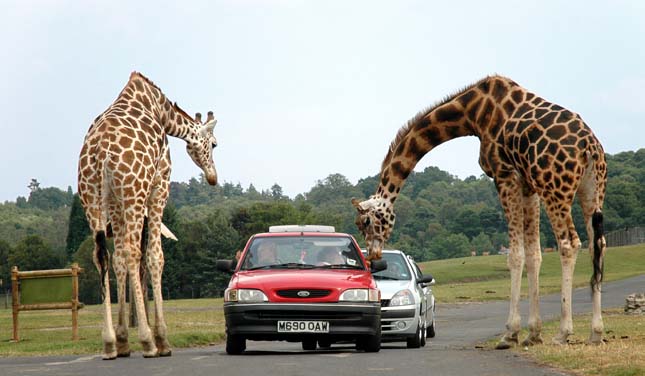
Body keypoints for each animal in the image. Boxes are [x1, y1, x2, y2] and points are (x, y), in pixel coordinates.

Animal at [77, 71, 219, 358]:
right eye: (214, 144)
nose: (213, 177)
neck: (162, 111)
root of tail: (99, 153)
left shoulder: (115, 203)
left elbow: (118, 259)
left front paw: (122, 339)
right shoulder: (159, 185)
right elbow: (155, 256)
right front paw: (162, 338)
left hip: (92, 197)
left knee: (102, 255)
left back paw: (109, 343)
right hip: (135, 192)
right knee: (134, 253)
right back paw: (148, 341)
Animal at [354, 75, 608, 350]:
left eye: (365, 222)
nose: (374, 256)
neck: (472, 113)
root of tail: (590, 147)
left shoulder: (504, 174)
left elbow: (515, 255)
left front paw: (510, 333)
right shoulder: (527, 184)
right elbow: (534, 255)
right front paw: (533, 333)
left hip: (555, 189)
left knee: (569, 243)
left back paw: (564, 332)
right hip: (591, 190)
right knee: (597, 244)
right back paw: (596, 332)